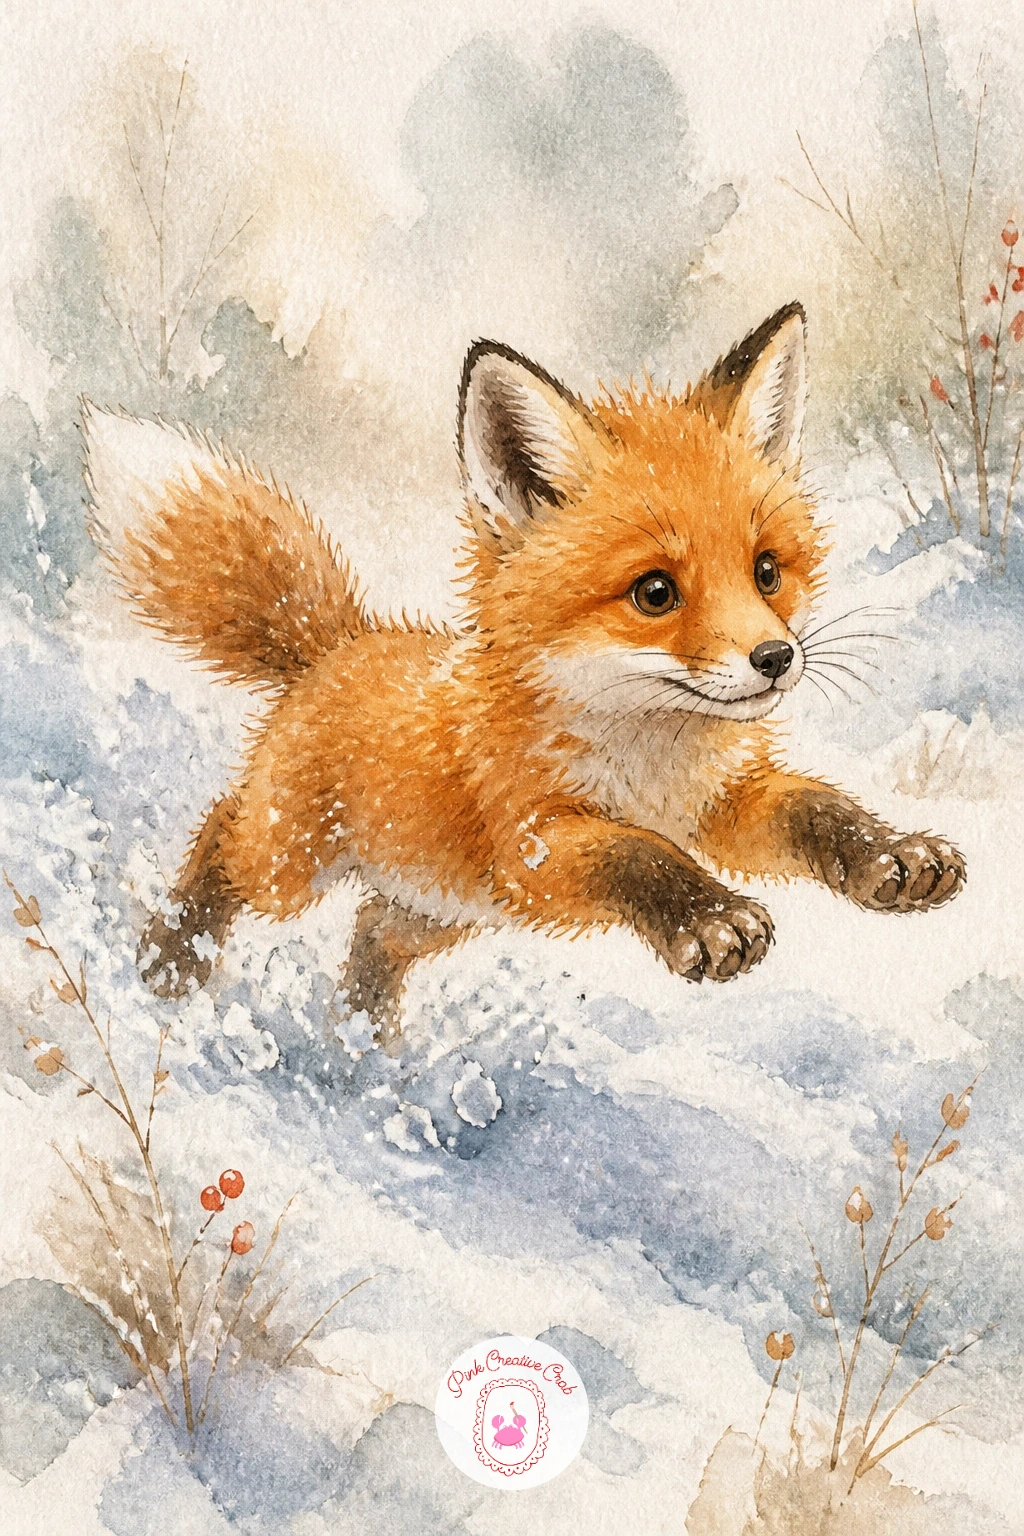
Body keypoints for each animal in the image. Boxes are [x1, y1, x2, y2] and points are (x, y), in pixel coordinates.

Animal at [82, 303, 964, 1048]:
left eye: (767, 572)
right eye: (654, 593)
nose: (775, 659)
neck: (653, 763)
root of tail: (338, 646)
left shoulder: (724, 805)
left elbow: (818, 809)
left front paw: (891, 855)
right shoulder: (533, 843)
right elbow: (637, 854)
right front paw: (709, 918)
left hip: (443, 908)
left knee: (373, 935)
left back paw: (368, 1048)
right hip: (292, 866)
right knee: (224, 828)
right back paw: (174, 957)